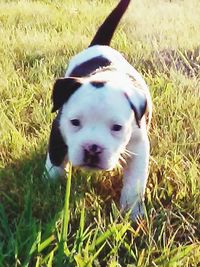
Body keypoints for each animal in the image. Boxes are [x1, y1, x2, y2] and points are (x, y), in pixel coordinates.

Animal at [45, 0, 152, 220]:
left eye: (117, 127)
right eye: (75, 122)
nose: (92, 148)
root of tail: (101, 45)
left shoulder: (139, 145)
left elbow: (135, 182)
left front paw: (132, 211)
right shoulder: (57, 128)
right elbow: (56, 156)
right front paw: (51, 181)